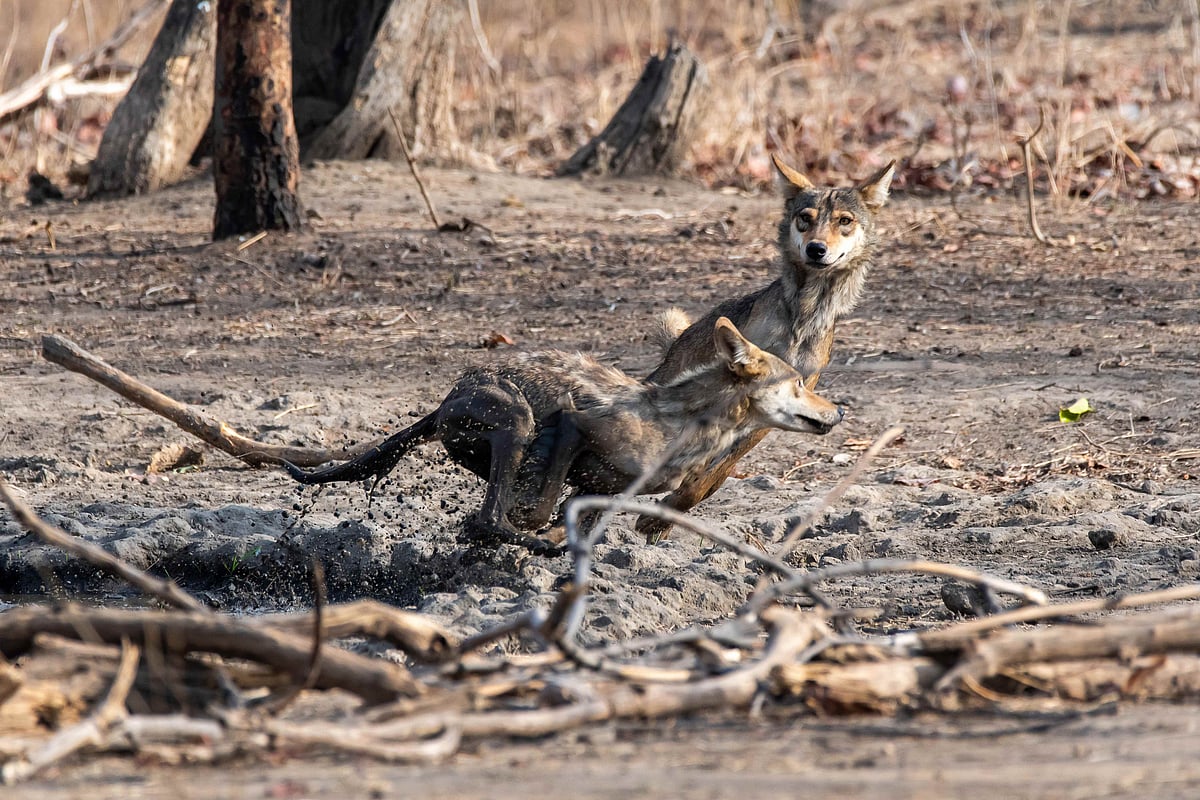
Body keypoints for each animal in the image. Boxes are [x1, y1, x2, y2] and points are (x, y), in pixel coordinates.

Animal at [285, 318, 843, 553]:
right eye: (798, 383)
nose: (838, 411)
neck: (685, 422)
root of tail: (448, 398)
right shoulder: (577, 427)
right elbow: (536, 511)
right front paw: (536, 537)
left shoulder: (601, 492)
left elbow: (569, 520)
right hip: (516, 420)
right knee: (491, 515)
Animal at [636, 154, 895, 541]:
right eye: (805, 218)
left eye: (844, 221)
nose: (816, 249)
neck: (804, 315)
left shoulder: (774, 411)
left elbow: (709, 480)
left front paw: (662, 516)